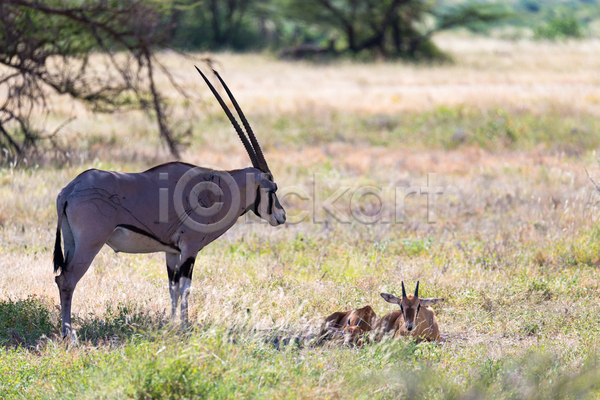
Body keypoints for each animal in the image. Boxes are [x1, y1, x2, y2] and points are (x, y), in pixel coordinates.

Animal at [53, 68, 286, 338]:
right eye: (272, 188)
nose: (281, 216)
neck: (217, 188)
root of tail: (70, 189)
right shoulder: (190, 247)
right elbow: (186, 287)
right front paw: (185, 328)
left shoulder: (172, 252)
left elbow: (172, 287)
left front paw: (171, 325)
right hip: (90, 244)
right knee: (67, 280)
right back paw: (70, 335)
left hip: (71, 242)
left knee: (61, 278)